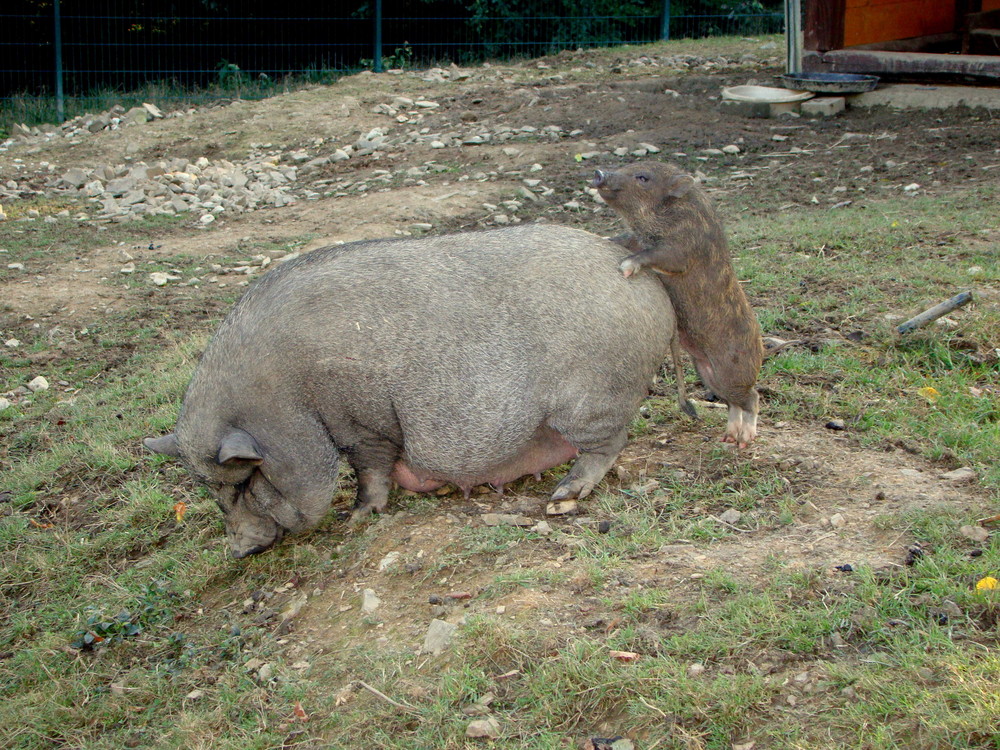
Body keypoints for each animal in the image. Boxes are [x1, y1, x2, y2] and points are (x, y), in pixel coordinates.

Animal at [143, 223, 680, 560]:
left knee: (611, 443)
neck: (288, 399)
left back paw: (563, 495)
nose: (240, 551)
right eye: (209, 489)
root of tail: (650, 287)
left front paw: (358, 516)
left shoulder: (361, 418)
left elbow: (370, 468)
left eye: (244, 482)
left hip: (593, 401)